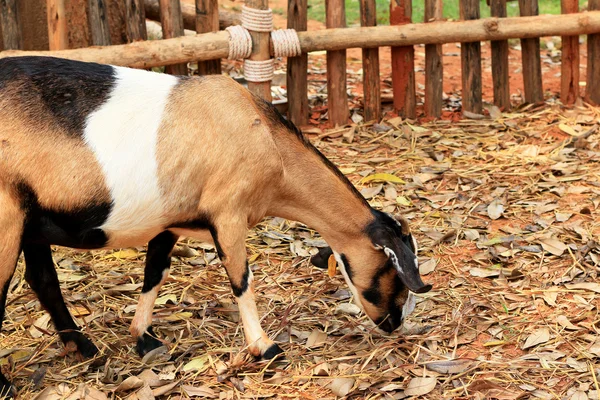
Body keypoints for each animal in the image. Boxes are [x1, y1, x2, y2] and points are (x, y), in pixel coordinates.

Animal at [0, 56, 432, 396]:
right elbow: (241, 280)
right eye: (394, 269)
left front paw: (144, 339)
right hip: (7, 220)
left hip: (31, 223)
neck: (265, 137)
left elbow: (155, 273)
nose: (396, 323)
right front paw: (265, 348)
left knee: (43, 280)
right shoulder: (229, 213)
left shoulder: (170, 222)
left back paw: (83, 347)